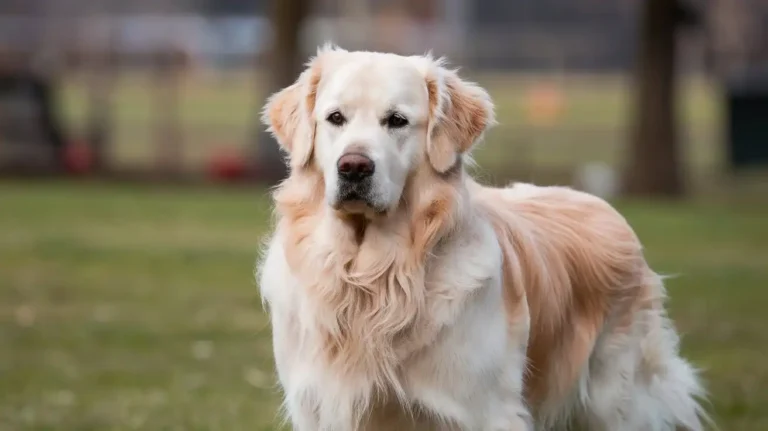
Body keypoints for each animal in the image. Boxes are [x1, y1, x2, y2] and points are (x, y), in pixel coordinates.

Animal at [258, 45, 708, 430]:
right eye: (335, 118)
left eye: (397, 120)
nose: (353, 167)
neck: (371, 282)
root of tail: (601, 203)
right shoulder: (318, 406)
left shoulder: (486, 411)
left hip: (613, 400)